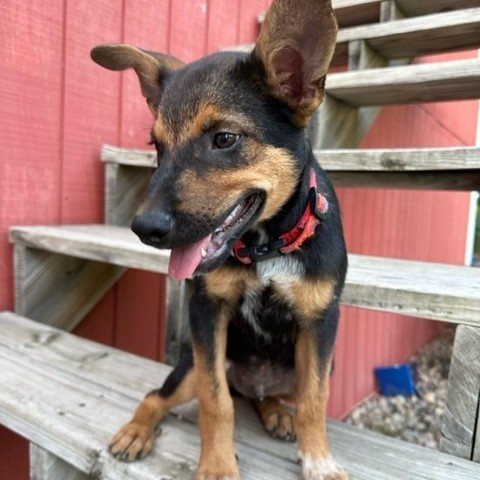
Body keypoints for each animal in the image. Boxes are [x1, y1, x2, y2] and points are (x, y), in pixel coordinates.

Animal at [93, 1, 348, 478]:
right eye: (156, 147)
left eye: (225, 138)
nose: (144, 228)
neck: (265, 247)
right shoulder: (206, 313)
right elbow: (217, 403)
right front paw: (216, 464)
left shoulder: (320, 323)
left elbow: (315, 399)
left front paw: (319, 460)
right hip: (192, 364)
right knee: (163, 396)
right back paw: (137, 431)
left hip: (306, 364)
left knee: (268, 395)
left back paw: (276, 413)